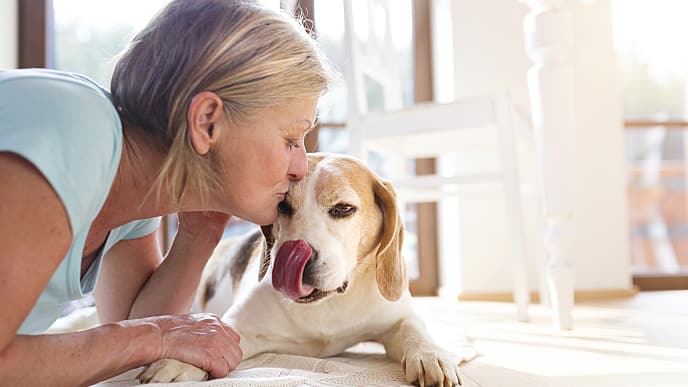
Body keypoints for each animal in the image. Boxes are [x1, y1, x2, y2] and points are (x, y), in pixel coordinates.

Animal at [139, 153, 462, 386]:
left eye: (343, 208)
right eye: (282, 206)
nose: (297, 259)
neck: (329, 303)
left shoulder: (397, 317)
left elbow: (413, 329)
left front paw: (432, 356)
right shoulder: (240, 325)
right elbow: (214, 334)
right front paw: (182, 360)